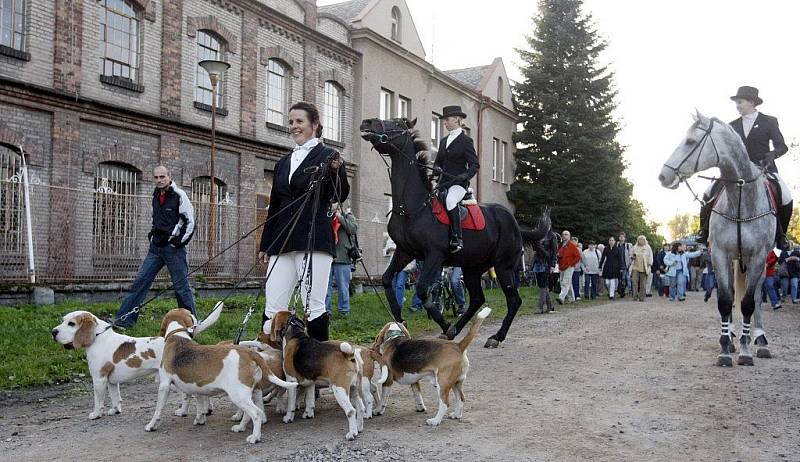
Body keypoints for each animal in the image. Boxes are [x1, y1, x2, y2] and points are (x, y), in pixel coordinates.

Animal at [50, 304, 220, 420]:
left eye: (71, 324)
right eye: (63, 320)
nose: (53, 332)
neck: (98, 338)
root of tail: (185, 338)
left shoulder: (99, 379)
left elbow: (98, 400)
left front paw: (96, 414)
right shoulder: (111, 382)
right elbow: (115, 397)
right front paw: (115, 410)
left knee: (188, 396)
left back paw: (184, 412)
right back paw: (207, 410)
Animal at [145, 306, 296, 444]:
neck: (177, 335)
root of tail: (249, 353)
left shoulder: (164, 385)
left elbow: (158, 410)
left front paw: (151, 425)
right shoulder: (196, 386)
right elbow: (200, 404)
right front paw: (200, 419)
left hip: (238, 395)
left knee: (256, 413)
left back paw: (255, 437)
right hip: (250, 392)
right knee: (249, 414)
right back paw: (240, 427)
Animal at [270, 310, 368, 440]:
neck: (295, 334)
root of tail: (349, 356)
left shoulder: (291, 381)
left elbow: (291, 404)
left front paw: (288, 418)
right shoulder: (310, 382)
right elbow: (310, 401)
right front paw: (308, 414)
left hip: (339, 389)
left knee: (351, 411)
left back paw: (351, 434)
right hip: (355, 388)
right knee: (361, 408)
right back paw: (359, 429)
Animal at [360, 117, 544, 348]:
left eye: (397, 124)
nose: (367, 122)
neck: (413, 207)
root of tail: (515, 224)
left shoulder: (434, 256)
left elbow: (422, 290)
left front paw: (444, 323)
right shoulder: (405, 251)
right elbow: (386, 279)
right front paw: (400, 320)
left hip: (503, 266)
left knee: (513, 299)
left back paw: (495, 336)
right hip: (473, 267)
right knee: (477, 299)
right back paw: (456, 330)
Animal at [656, 111, 776, 364]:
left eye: (690, 141)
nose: (663, 175)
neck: (740, 200)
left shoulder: (758, 256)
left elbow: (748, 303)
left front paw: (746, 350)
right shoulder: (719, 254)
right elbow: (724, 300)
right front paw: (725, 348)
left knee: (757, 297)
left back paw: (760, 341)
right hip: (732, 260)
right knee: (730, 293)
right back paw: (731, 337)